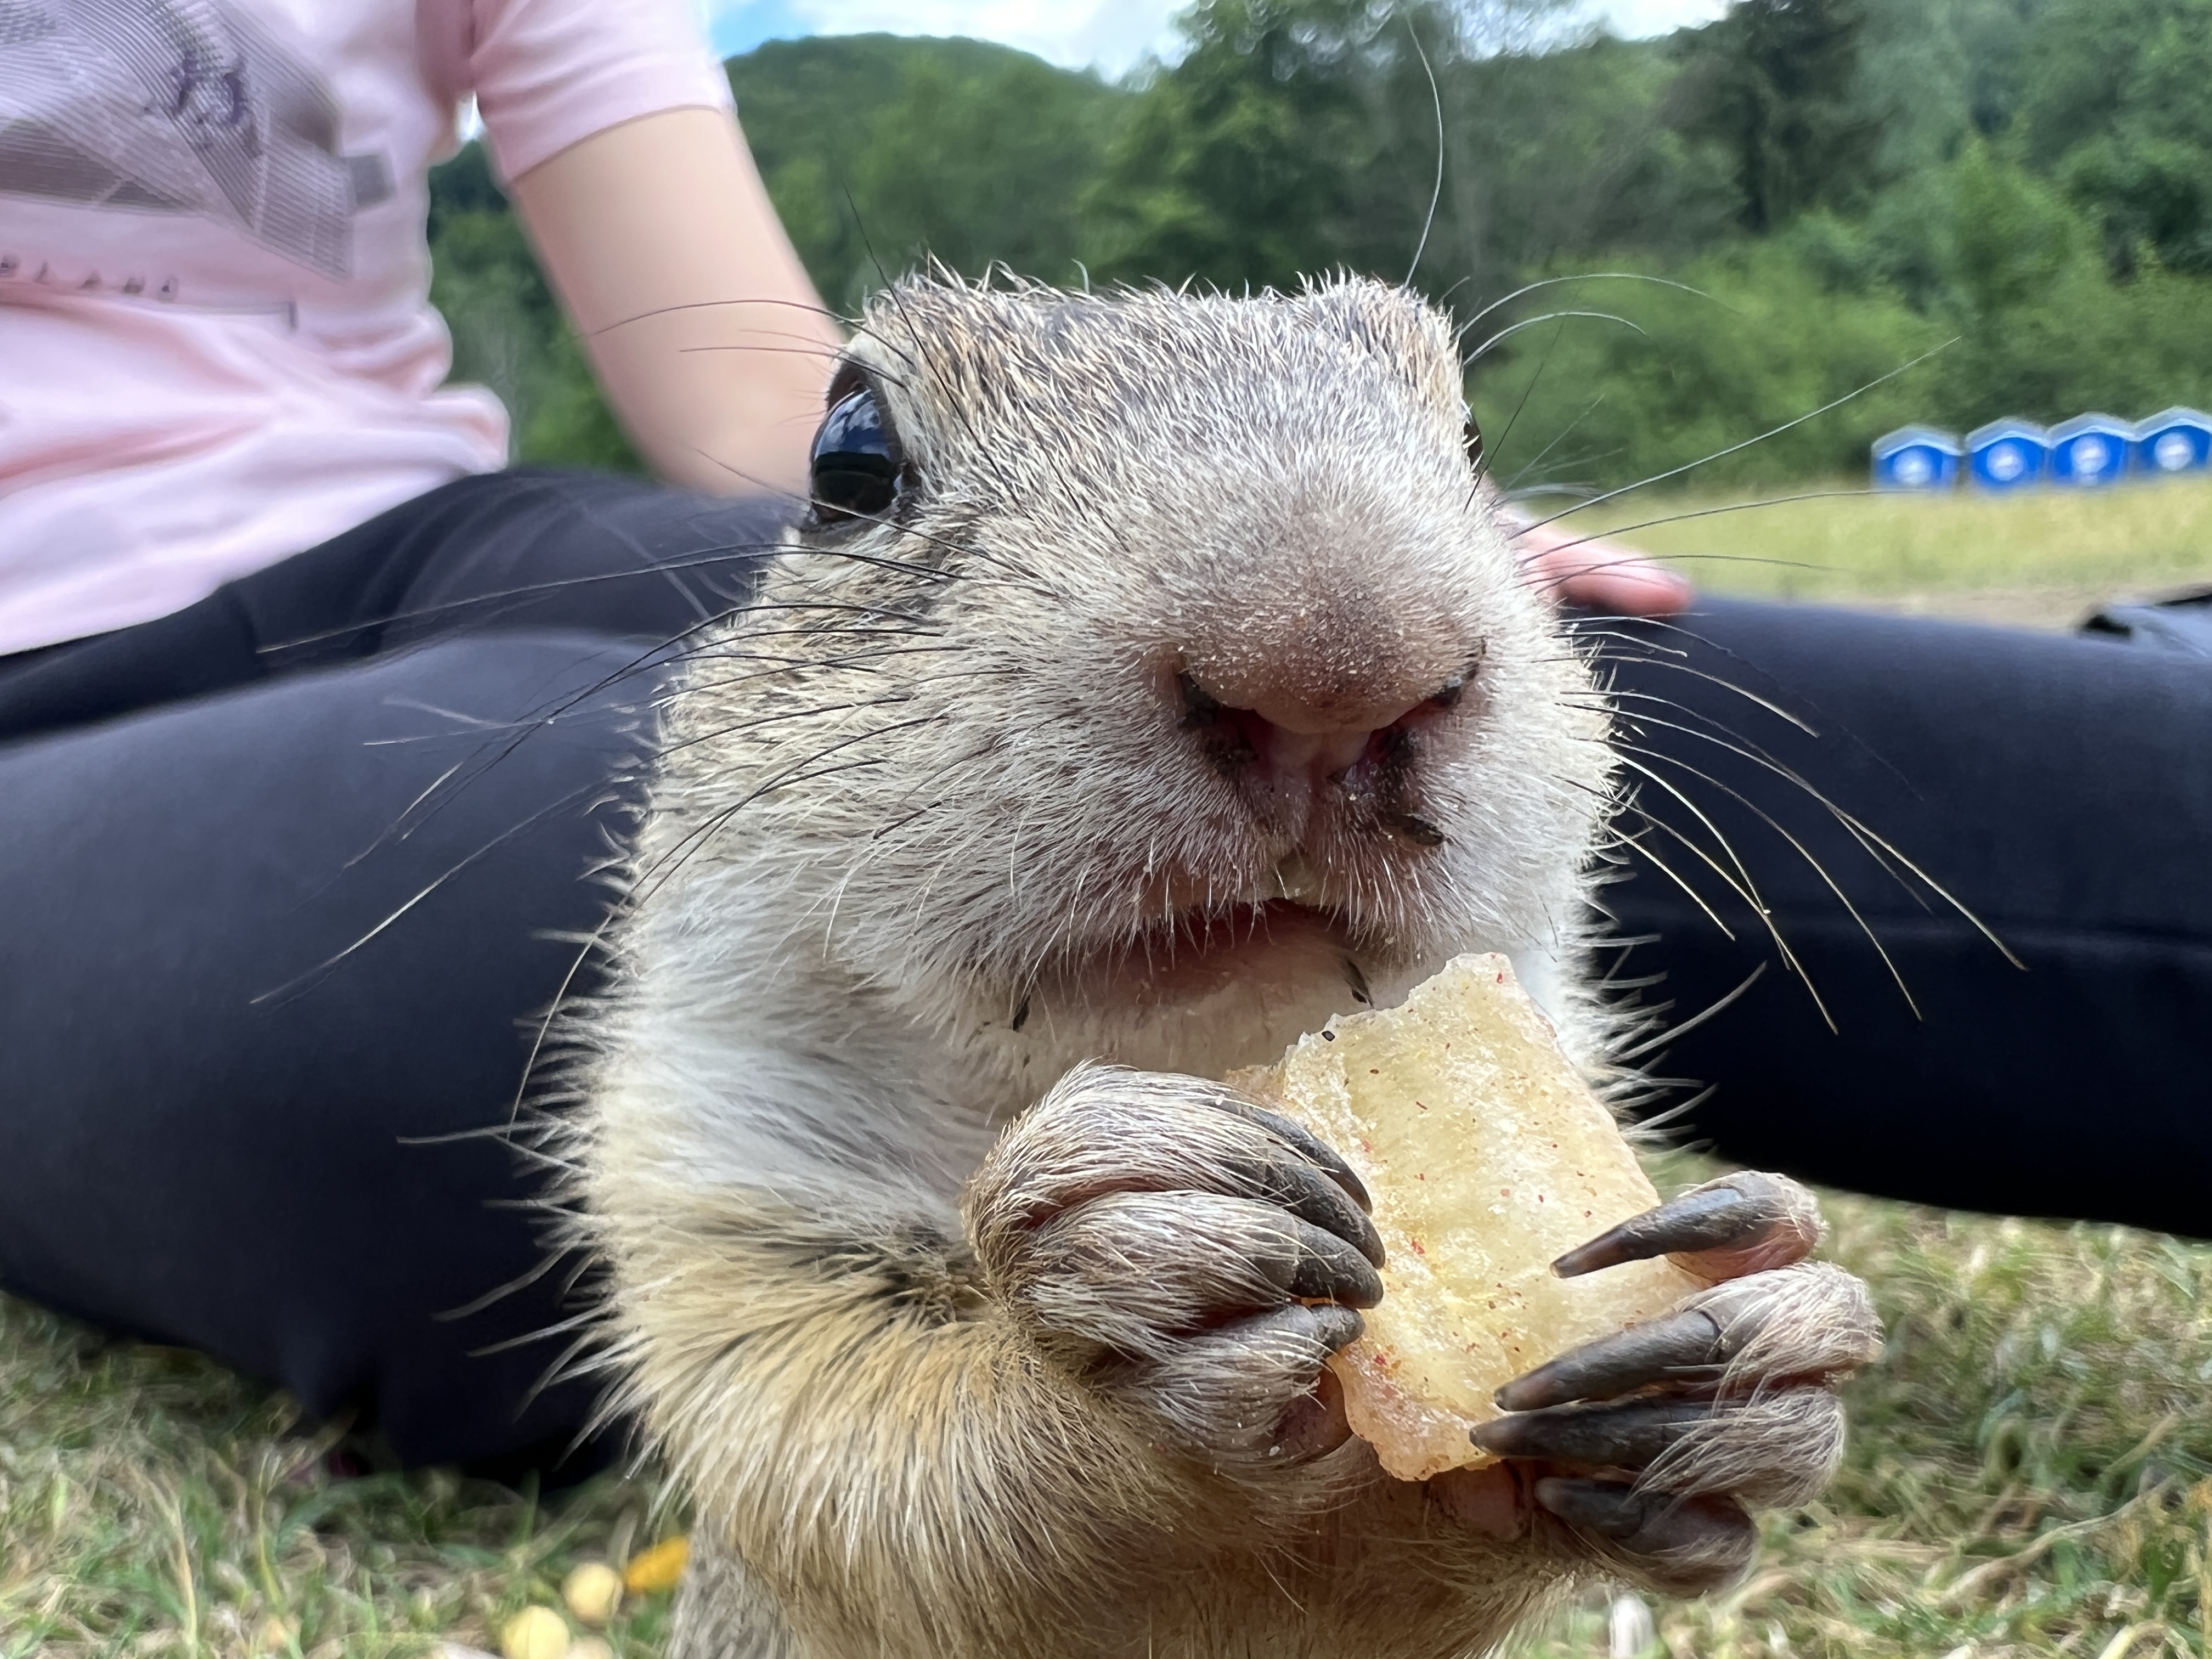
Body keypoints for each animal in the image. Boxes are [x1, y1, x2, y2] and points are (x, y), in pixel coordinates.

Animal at [564, 273, 1881, 1659]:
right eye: (849, 461)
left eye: (1474, 445)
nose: (1335, 657)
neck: (1227, 1056)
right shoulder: (719, 1194)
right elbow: (849, 1452)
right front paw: (1117, 1284)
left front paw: (1767, 1323)